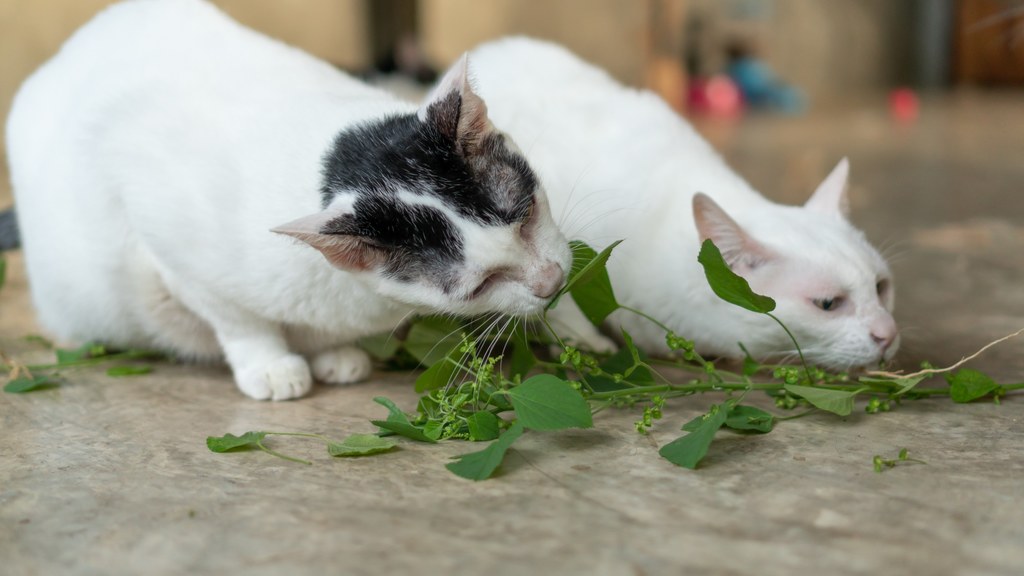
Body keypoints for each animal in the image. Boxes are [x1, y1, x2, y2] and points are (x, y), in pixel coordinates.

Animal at [4, 1, 573, 399]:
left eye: (526, 215)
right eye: (482, 285)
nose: (552, 282)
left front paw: (333, 352)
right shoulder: (171, 248)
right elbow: (239, 320)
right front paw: (271, 366)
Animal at [464, 38, 897, 368]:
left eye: (881, 287)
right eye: (827, 304)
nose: (889, 334)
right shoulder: (550, 231)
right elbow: (557, 294)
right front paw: (583, 341)